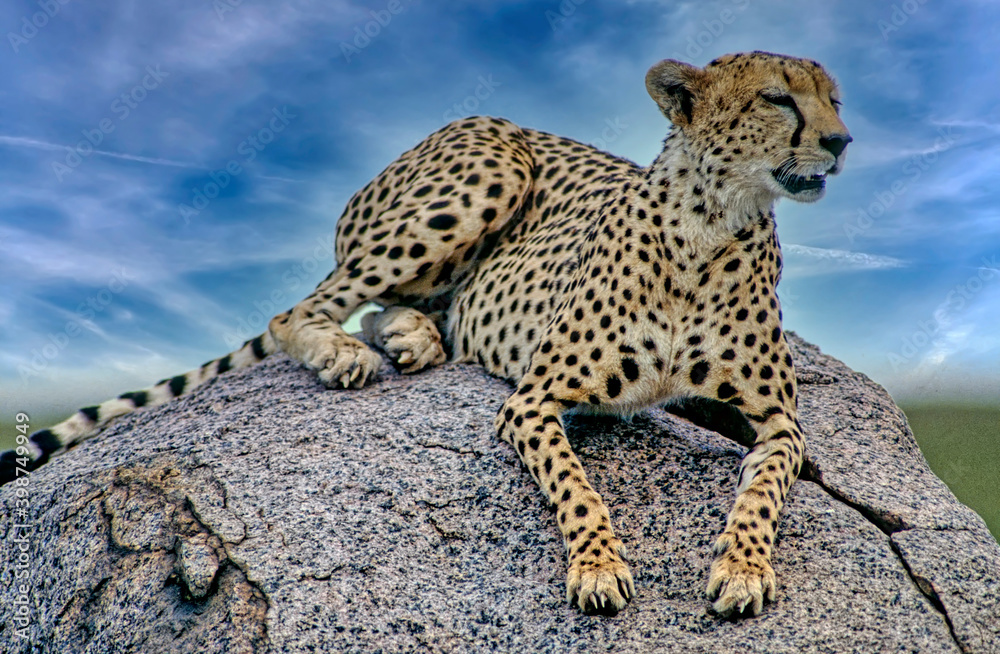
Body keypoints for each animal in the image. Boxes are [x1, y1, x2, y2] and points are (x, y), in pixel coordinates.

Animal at [5, 52, 852, 620]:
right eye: (779, 98)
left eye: (835, 99)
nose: (842, 142)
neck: (712, 226)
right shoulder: (533, 401)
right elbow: (580, 492)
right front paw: (597, 567)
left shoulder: (780, 422)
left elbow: (765, 492)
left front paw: (742, 569)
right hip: (487, 174)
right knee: (302, 310)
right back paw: (346, 352)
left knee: (404, 303)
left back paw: (413, 338)